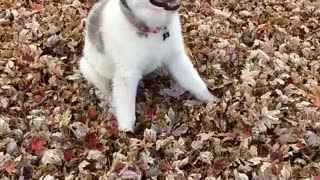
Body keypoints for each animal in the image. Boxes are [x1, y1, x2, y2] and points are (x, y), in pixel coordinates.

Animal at [79, 0, 218, 132]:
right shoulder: (127, 75)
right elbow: (127, 112)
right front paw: (126, 133)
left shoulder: (176, 58)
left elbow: (196, 83)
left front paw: (213, 101)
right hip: (88, 68)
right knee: (108, 93)